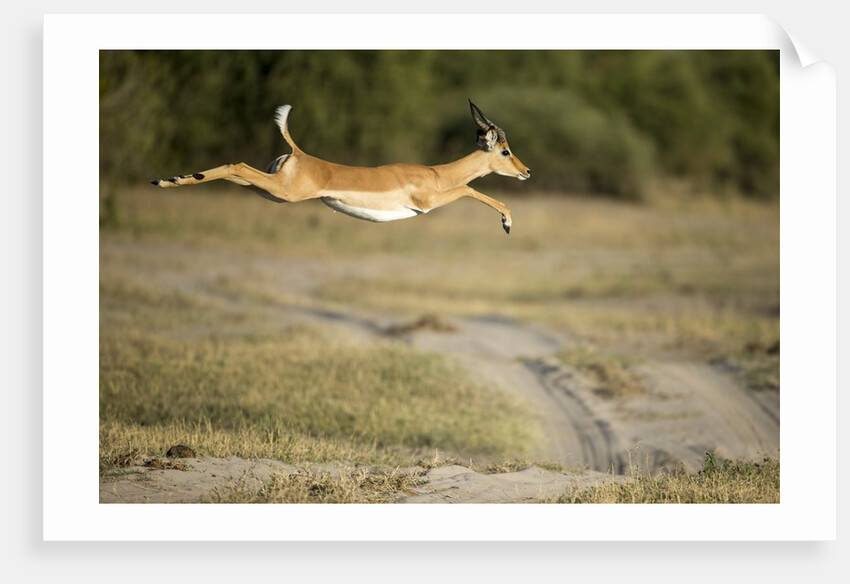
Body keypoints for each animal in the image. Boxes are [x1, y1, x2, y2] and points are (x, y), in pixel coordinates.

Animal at [152, 100, 530, 234]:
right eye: (506, 151)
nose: (526, 172)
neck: (436, 174)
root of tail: (298, 153)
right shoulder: (428, 203)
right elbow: (468, 187)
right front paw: (507, 222)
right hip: (282, 191)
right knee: (238, 164)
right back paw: (168, 180)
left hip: (270, 191)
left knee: (236, 170)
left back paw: (170, 179)